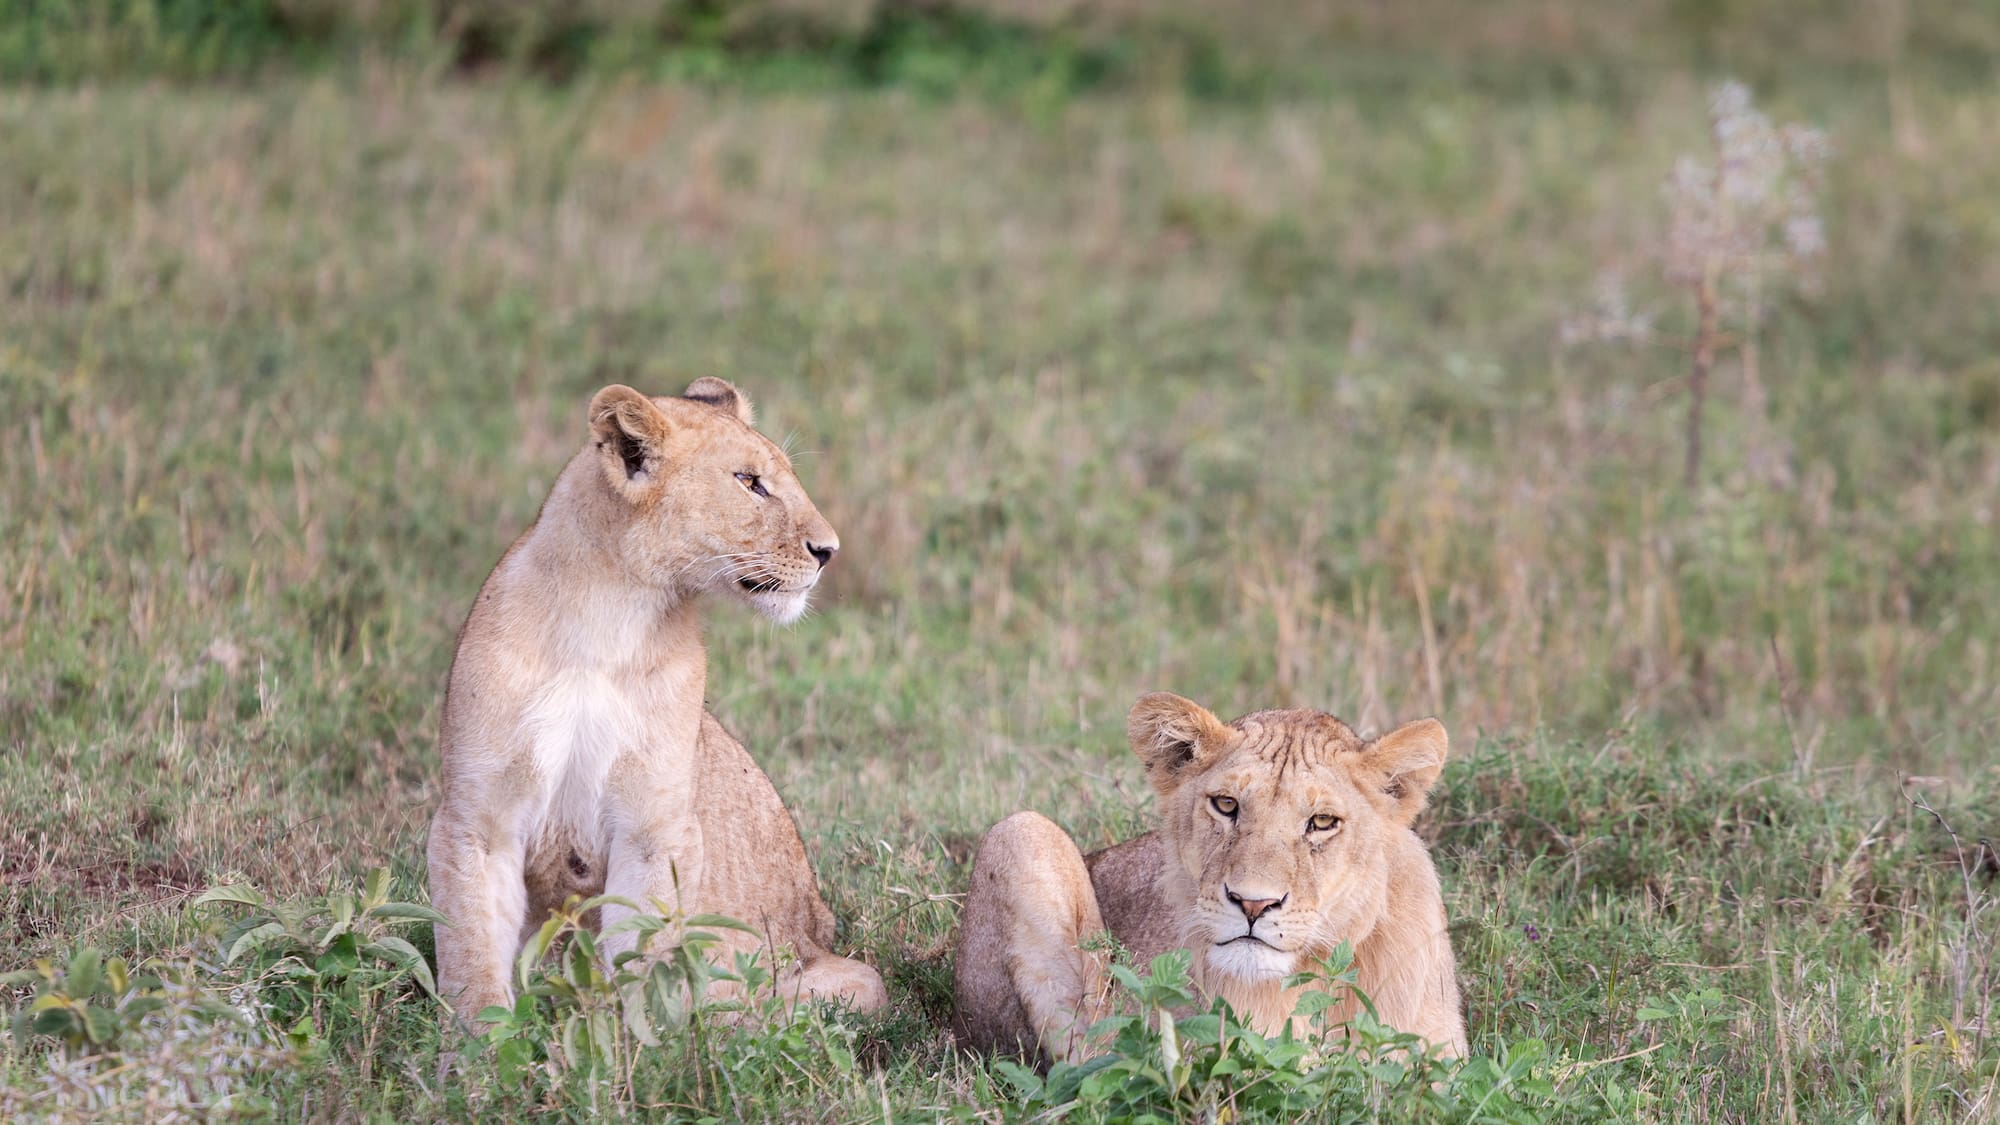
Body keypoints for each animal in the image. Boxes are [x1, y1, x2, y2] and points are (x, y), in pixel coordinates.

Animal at [427, 378, 886, 1029]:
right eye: (749, 481)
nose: (828, 550)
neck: (607, 618)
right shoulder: (476, 819)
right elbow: (471, 954)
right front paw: (477, 1050)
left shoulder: (655, 827)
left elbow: (642, 957)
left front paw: (635, 1046)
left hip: (849, 983)